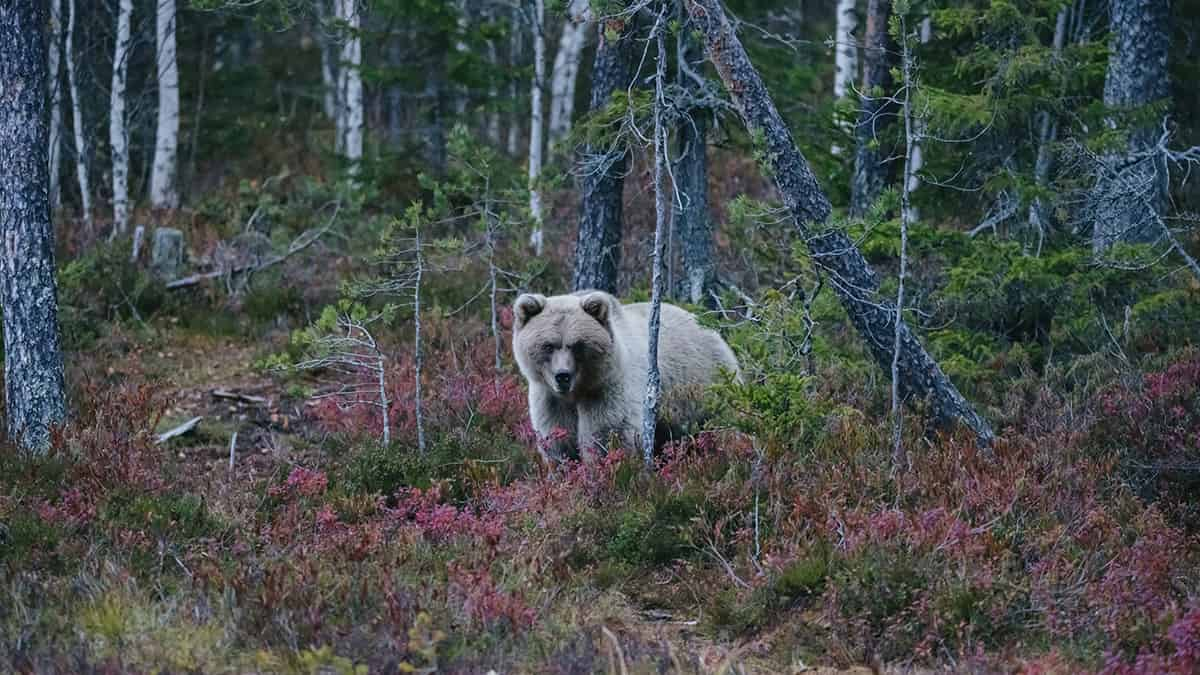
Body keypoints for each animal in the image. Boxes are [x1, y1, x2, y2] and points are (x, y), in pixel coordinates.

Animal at [508, 289, 739, 461]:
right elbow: (558, 442)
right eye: (548, 345)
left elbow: (607, 435)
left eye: (577, 345)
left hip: (709, 385)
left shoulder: (607, 389)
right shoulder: (550, 399)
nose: (562, 375)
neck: (577, 392)